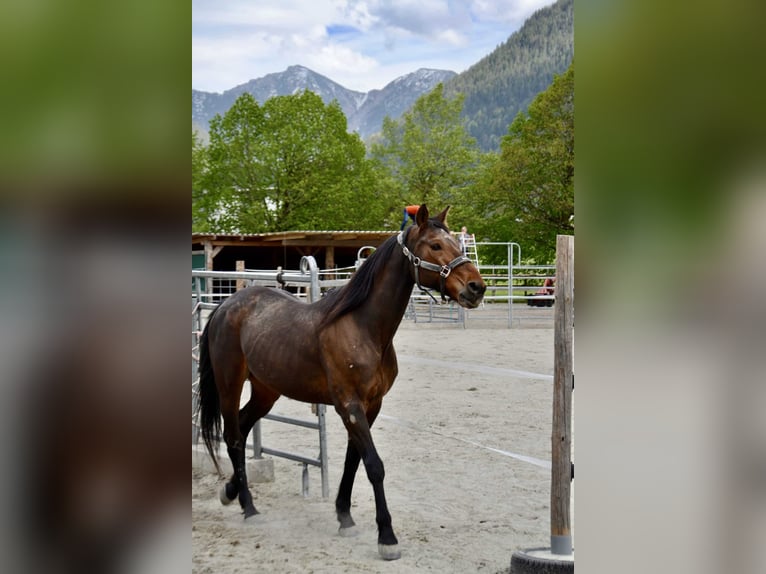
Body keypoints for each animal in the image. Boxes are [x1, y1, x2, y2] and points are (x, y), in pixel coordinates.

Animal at [198, 207, 486, 564]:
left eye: (456, 243)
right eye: (435, 245)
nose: (476, 287)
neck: (363, 327)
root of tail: (224, 306)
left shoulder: (371, 406)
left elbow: (354, 460)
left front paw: (344, 516)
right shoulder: (349, 404)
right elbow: (374, 465)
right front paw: (387, 537)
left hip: (267, 390)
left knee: (243, 424)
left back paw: (231, 492)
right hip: (230, 383)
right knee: (234, 436)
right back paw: (249, 507)